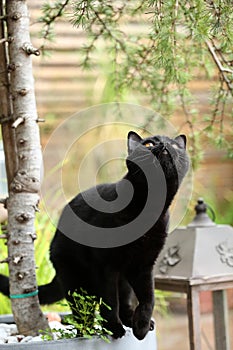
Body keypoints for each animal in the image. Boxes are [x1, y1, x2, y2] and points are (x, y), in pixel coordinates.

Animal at [0, 131, 189, 340]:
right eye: (148, 144)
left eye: (175, 145)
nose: (164, 145)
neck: (150, 209)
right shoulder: (105, 266)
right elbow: (110, 302)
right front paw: (114, 329)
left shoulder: (143, 265)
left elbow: (149, 298)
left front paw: (141, 328)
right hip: (75, 280)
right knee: (83, 312)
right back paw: (87, 332)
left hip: (122, 279)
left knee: (124, 302)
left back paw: (133, 322)